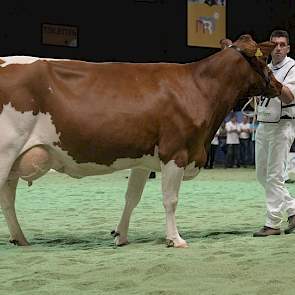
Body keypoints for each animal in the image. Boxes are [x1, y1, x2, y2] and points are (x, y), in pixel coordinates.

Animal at [0, 35, 282, 247]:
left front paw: (121, 236)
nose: (279, 86)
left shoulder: (144, 160)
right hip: (6, 151)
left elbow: (132, 198)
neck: (198, 88)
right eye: (263, 60)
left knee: (8, 199)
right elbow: (170, 199)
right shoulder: (175, 152)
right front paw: (175, 239)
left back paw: (20, 239)